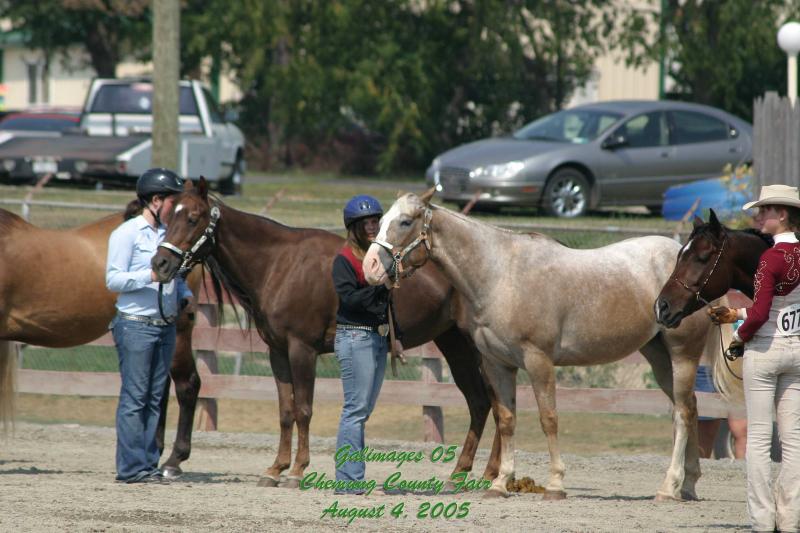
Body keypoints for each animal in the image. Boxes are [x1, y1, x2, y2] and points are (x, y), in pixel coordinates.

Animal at [150, 178, 496, 486]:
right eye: (168, 217)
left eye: (193, 218)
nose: (160, 263)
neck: (279, 264)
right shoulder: (278, 352)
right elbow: (286, 411)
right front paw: (275, 468)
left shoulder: (302, 349)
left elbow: (303, 409)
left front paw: (297, 470)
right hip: (454, 344)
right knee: (480, 403)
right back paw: (461, 474)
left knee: (496, 402)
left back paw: (490, 475)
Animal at [362, 193, 736, 500]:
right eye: (381, 221)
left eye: (405, 222)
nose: (370, 266)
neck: (501, 275)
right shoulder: (498, 364)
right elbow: (507, 419)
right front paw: (500, 483)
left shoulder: (538, 360)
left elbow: (549, 418)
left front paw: (556, 484)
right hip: (659, 358)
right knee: (688, 409)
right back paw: (687, 486)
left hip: (682, 355)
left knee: (683, 414)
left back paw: (668, 487)